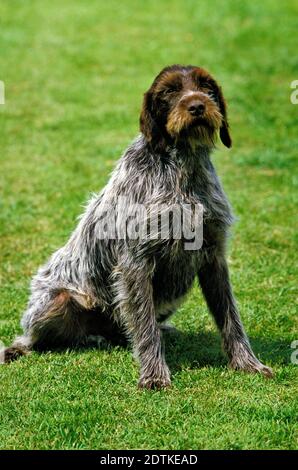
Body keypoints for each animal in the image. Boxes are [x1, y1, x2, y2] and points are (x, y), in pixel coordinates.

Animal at [2, 66, 272, 390]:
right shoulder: (136, 262)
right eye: (169, 91)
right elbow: (144, 327)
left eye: (206, 86)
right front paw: (154, 375)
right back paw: (16, 348)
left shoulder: (213, 256)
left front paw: (247, 363)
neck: (182, 168)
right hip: (56, 301)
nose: (197, 106)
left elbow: (231, 318)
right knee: (33, 336)